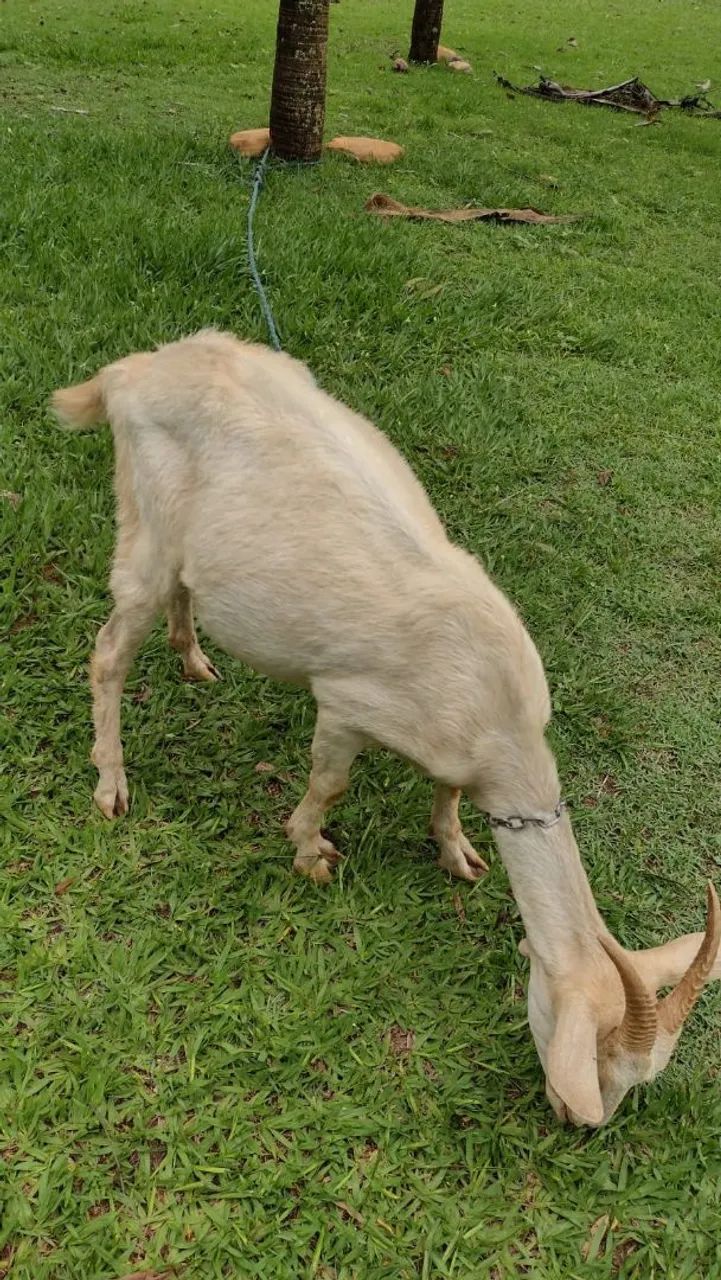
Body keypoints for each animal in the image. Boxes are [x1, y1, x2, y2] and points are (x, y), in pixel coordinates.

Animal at [53, 329, 721, 1126]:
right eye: (598, 1057)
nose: (573, 1119)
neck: (497, 718)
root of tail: (132, 371)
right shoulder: (347, 705)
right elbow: (330, 785)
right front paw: (309, 852)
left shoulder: (452, 746)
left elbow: (447, 792)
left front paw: (456, 851)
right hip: (144, 521)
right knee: (109, 653)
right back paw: (112, 783)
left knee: (184, 592)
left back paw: (193, 659)